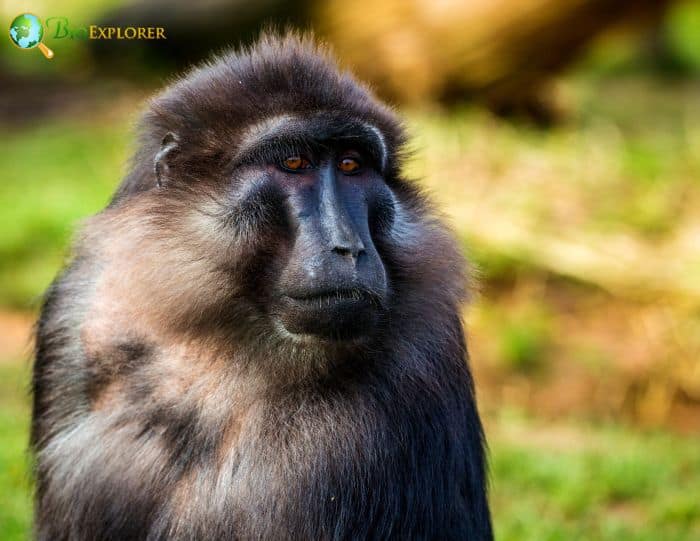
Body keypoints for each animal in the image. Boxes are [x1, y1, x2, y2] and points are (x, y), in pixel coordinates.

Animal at [31, 33, 493, 541]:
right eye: (294, 162)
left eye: (351, 165)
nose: (348, 247)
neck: (227, 339)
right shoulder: (79, 313)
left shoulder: (421, 351)